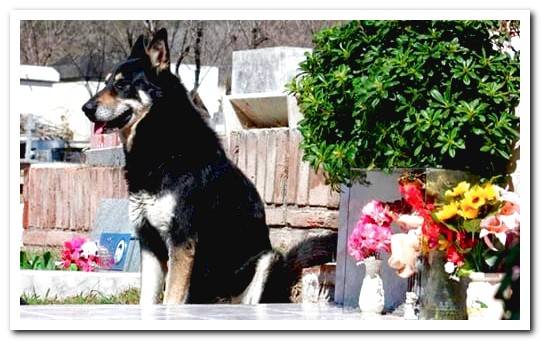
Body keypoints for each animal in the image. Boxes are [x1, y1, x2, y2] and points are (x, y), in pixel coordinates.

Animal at [81, 27, 334, 302]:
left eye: (122, 84)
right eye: (107, 83)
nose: (86, 108)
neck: (162, 145)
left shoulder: (181, 242)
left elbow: (171, 299)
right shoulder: (148, 243)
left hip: (268, 260)